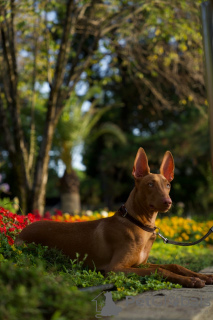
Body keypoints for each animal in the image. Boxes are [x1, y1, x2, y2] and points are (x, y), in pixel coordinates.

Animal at [15, 149, 213, 288]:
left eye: (168, 185)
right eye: (150, 184)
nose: (168, 202)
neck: (138, 223)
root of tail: (22, 230)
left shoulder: (141, 263)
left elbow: (173, 265)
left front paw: (202, 275)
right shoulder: (115, 269)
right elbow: (159, 269)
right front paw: (191, 280)